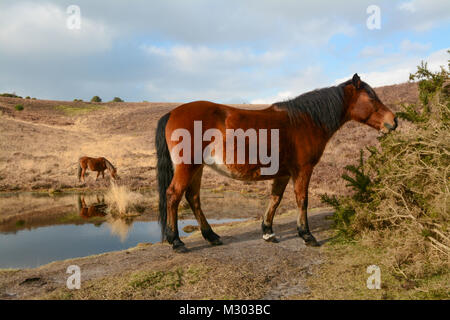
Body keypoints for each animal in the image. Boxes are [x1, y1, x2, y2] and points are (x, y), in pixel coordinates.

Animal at [155, 74, 398, 252]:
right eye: (372, 98)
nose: (394, 121)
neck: (305, 121)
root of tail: (172, 113)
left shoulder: (283, 173)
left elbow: (275, 199)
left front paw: (268, 231)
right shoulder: (303, 170)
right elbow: (302, 200)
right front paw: (306, 235)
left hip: (197, 168)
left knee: (193, 198)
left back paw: (211, 236)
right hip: (188, 167)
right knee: (174, 195)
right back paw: (176, 241)